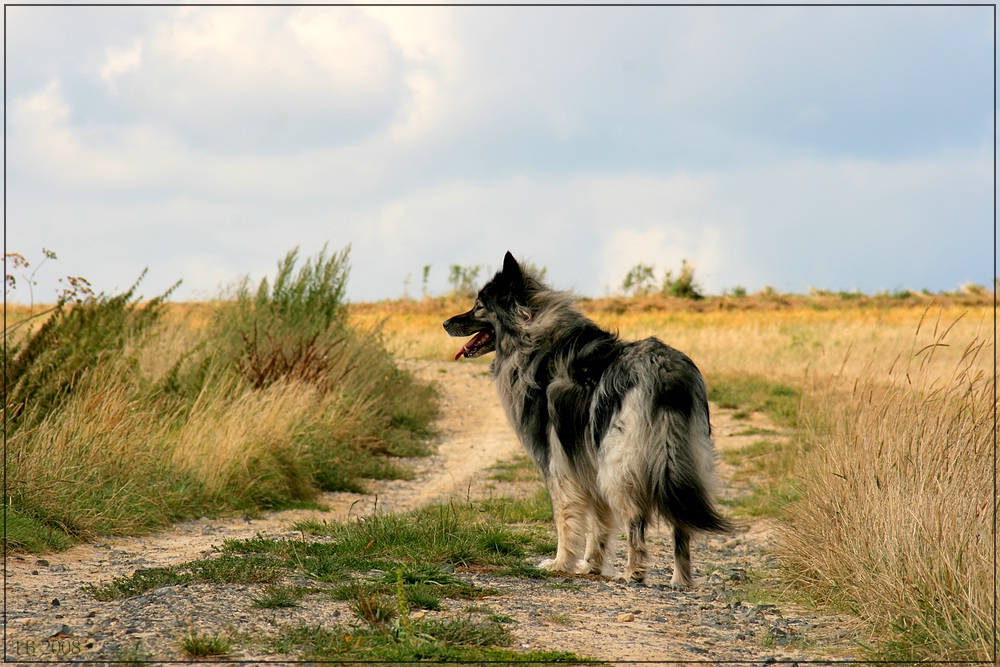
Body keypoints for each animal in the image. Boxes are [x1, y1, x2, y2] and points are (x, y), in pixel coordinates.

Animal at [442, 253, 732, 588]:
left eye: (478, 306)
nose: (445, 323)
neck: (533, 336)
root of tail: (664, 370)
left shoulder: (559, 464)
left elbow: (566, 519)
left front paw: (560, 563)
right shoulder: (585, 462)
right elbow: (599, 522)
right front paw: (591, 565)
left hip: (619, 466)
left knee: (636, 519)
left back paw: (634, 572)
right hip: (684, 460)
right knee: (680, 522)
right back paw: (680, 579)